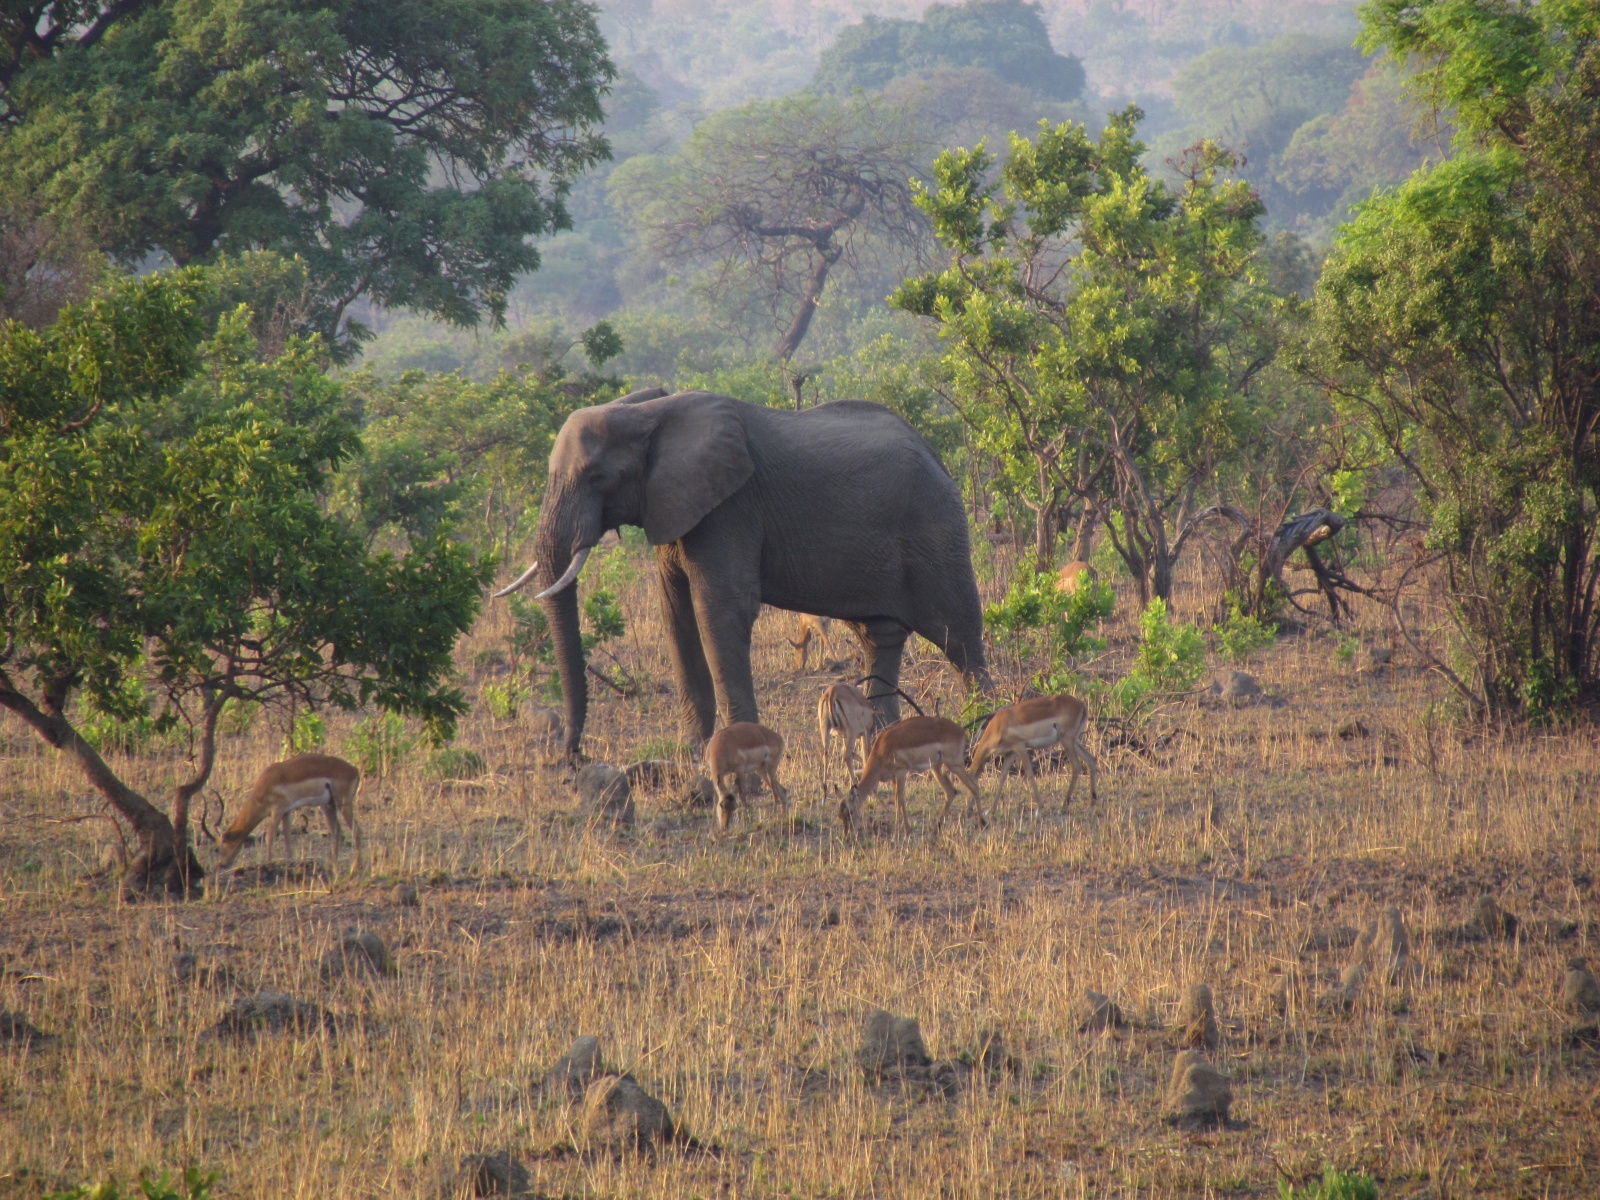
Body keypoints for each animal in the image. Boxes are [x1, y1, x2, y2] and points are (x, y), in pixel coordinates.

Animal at [498, 388, 989, 758]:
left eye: (597, 477)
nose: (572, 755)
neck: (647, 413)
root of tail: (935, 454)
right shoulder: (677, 508)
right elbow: (675, 612)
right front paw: (692, 750)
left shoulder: (730, 508)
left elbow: (721, 610)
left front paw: (736, 747)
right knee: (879, 637)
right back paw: (882, 740)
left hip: (937, 530)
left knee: (959, 637)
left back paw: (982, 736)